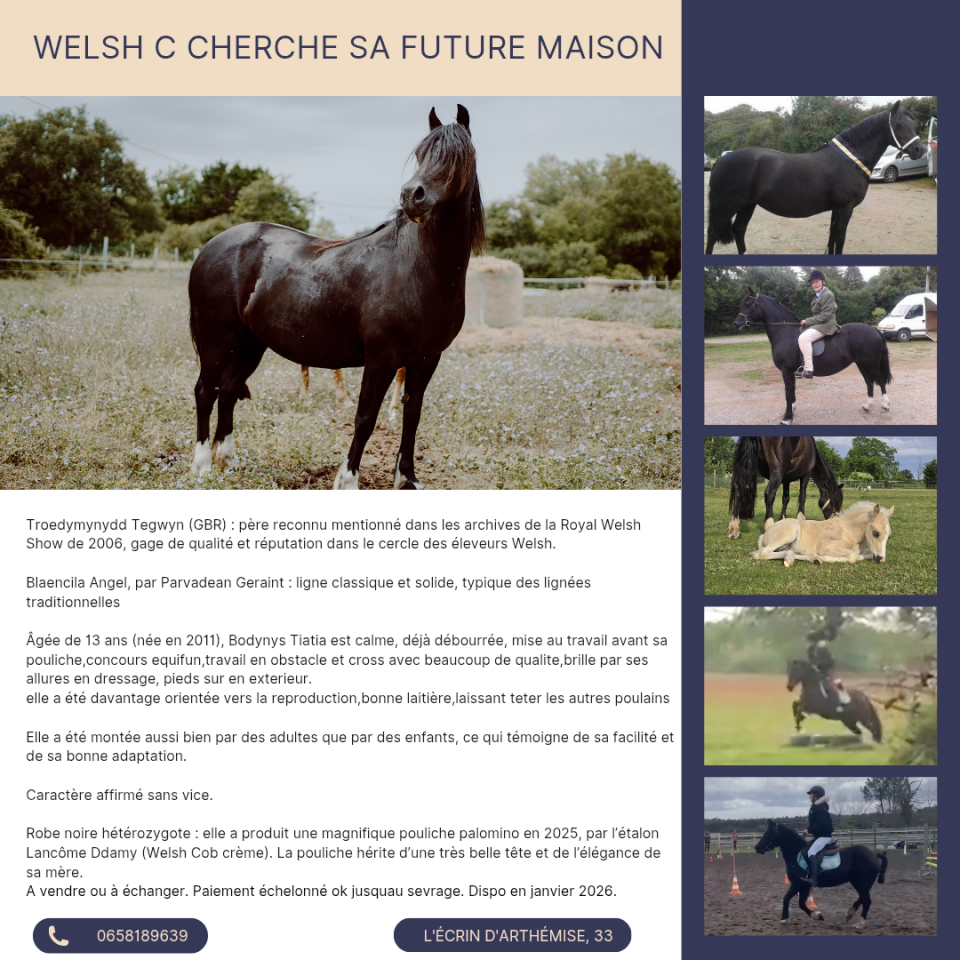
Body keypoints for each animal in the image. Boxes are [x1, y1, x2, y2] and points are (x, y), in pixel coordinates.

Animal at [188, 104, 484, 489]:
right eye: (421, 154)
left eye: (456, 157)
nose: (412, 196)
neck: (419, 269)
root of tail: (211, 246)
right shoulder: (381, 359)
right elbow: (365, 418)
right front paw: (348, 480)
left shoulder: (427, 359)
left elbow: (412, 414)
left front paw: (407, 477)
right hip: (217, 338)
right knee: (205, 390)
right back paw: (202, 465)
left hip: (251, 343)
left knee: (227, 390)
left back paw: (229, 460)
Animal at [706, 102, 924, 254]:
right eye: (898, 125)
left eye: (913, 123)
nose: (919, 150)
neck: (850, 159)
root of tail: (721, 160)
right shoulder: (845, 209)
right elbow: (840, 239)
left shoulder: (837, 209)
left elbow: (832, 238)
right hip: (727, 207)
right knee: (713, 233)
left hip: (747, 205)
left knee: (739, 230)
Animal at [733, 289, 892, 424]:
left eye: (748, 304)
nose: (737, 324)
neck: (784, 332)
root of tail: (873, 329)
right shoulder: (791, 372)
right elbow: (792, 391)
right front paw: (792, 410)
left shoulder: (786, 371)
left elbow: (788, 392)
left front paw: (787, 418)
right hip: (862, 363)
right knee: (869, 381)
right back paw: (867, 405)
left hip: (871, 363)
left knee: (880, 380)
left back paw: (885, 405)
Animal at [751, 501, 894, 566]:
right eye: (875, 533)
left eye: (889, 535)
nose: (881, 559)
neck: (848, 531)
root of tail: (766, 532)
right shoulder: (825, 547)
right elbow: (852, 556)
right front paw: (825, 558)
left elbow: (866, 553)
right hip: (790, 531)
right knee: (762, 553)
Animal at [755, 820, 887, 931]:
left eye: (769, 833)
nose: (757, 848)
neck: (796, 854)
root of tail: (874, 854)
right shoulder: (804, 885)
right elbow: (801, 903)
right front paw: (817, 916)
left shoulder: (798, 883)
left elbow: (786, 898)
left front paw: (784, 919)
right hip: (861, 883)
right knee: (862, 898)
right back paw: (849, 914)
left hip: (861, 882)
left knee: (867, 900)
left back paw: (860, 923)